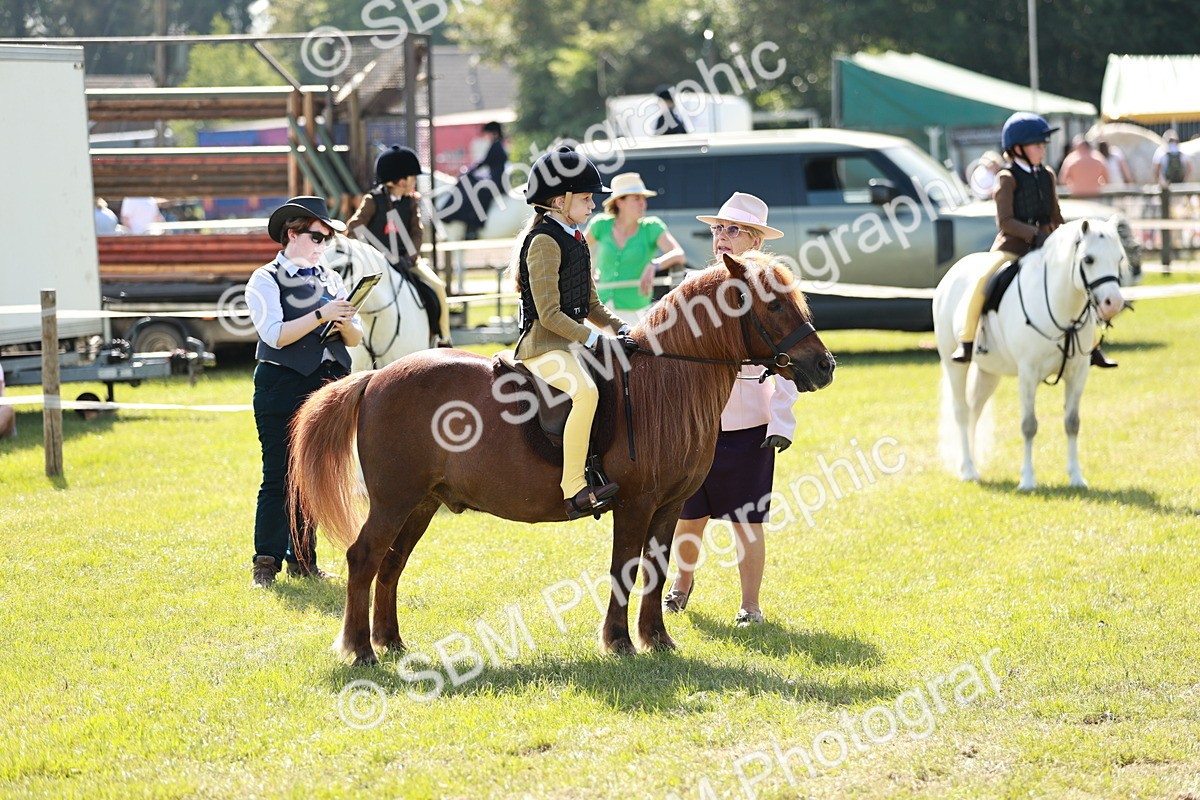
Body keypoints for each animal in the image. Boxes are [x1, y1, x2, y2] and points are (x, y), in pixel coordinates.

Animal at [288, 250, 836, 665]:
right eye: (775, 305)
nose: (824, 366)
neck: (665, 380)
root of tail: (373, 378)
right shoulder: (636, 505)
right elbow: (625, 567)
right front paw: (619, 642)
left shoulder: (669, 507)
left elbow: (656, 569)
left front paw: (656, 638)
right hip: (394, 501)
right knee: (364, 558)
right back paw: (360, 650)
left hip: (420, 504)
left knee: (391, 563)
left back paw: (391, 642)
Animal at [932, 219, 1127, 490]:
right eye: (1088, 259)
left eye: (1119, 258)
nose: (1113, 303)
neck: (1060, 306)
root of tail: (952, 273)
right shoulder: (1027, 373)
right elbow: (1029, 425)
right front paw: (1027, 480)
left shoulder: (1078, 372)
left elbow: (1072, 423)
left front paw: (1076, 477)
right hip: (955, 366)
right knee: (961, 412)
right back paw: (968, 471)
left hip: (988, 372)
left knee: (974, 411)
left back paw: (971, 464)